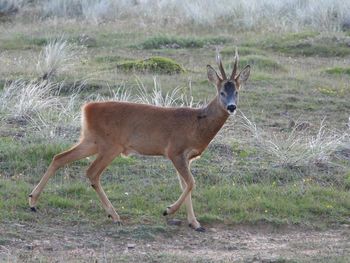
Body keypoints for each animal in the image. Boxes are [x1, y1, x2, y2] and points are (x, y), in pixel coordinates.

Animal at [28, 49, 250, 233]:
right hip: (111, 145)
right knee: (91, 172)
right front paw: (168, 210)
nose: (231, 107)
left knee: (60, 157)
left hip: (91, 140)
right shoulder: (174, 151)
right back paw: (114, 215)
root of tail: (86, 108)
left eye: (237, 91)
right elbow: (191, 183)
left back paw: (33, 202)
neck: (197, 124)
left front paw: (195, 223)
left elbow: (186, 185)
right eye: (221, 91)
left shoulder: (187, 158)